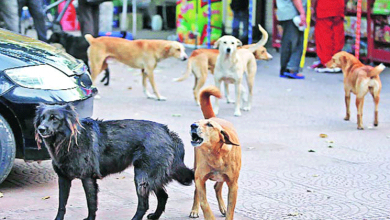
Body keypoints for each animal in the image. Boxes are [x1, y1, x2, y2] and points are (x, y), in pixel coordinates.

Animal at [33, 103, 193, 220]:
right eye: (42, 118)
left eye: (54, 118)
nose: (41, 129)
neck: (68, 140)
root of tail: (167, 131)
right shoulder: (63, 178)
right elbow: (62, 205)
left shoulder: (87, 178)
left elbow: (91, 204)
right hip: (150, 178)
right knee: (163, 196)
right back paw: (155, 216)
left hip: (142, 178)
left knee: (143, 205)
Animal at [189, 86, 241, 220]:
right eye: (196, 122)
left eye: (209, 125)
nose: (193, 125)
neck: (215, 154)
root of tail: (213, 117)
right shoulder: (200, 179)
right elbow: (204, 204)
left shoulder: (233, 185)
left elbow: (231, 209)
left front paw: (227, 210)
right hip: (196, 168)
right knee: (197, 191)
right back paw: (194, 210)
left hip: (222, 178)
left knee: (217, 187)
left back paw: (222, 207)